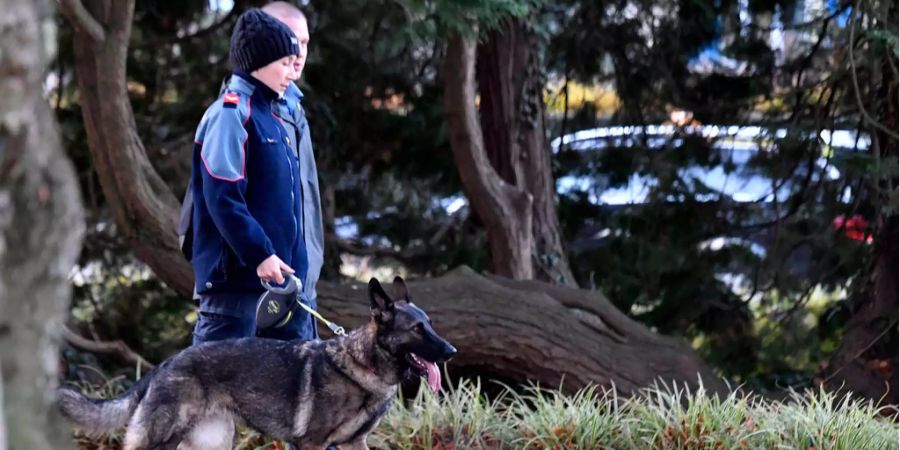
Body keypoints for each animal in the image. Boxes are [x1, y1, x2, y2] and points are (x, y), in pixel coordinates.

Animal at [59, 276, 458, 448]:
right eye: (417, 329)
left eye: (431, 324)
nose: (452, 351)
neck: (365, 365)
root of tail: (165, 364)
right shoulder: (312, 445)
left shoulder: (352, 445)